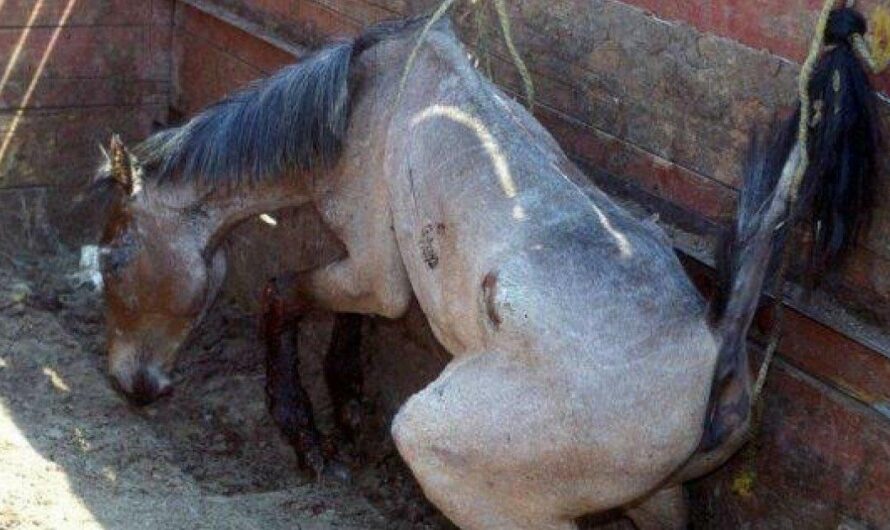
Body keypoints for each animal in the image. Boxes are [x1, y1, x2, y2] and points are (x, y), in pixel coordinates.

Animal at [92, 10, 876, 524]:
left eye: (116, 260)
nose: (130, 385)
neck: (366, 100)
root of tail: (718, 340)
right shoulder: (374, 274)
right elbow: (344, 323)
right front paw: (344, 407)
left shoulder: (372, 271)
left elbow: (284, 294)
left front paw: (307, 436)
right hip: (659, 500)